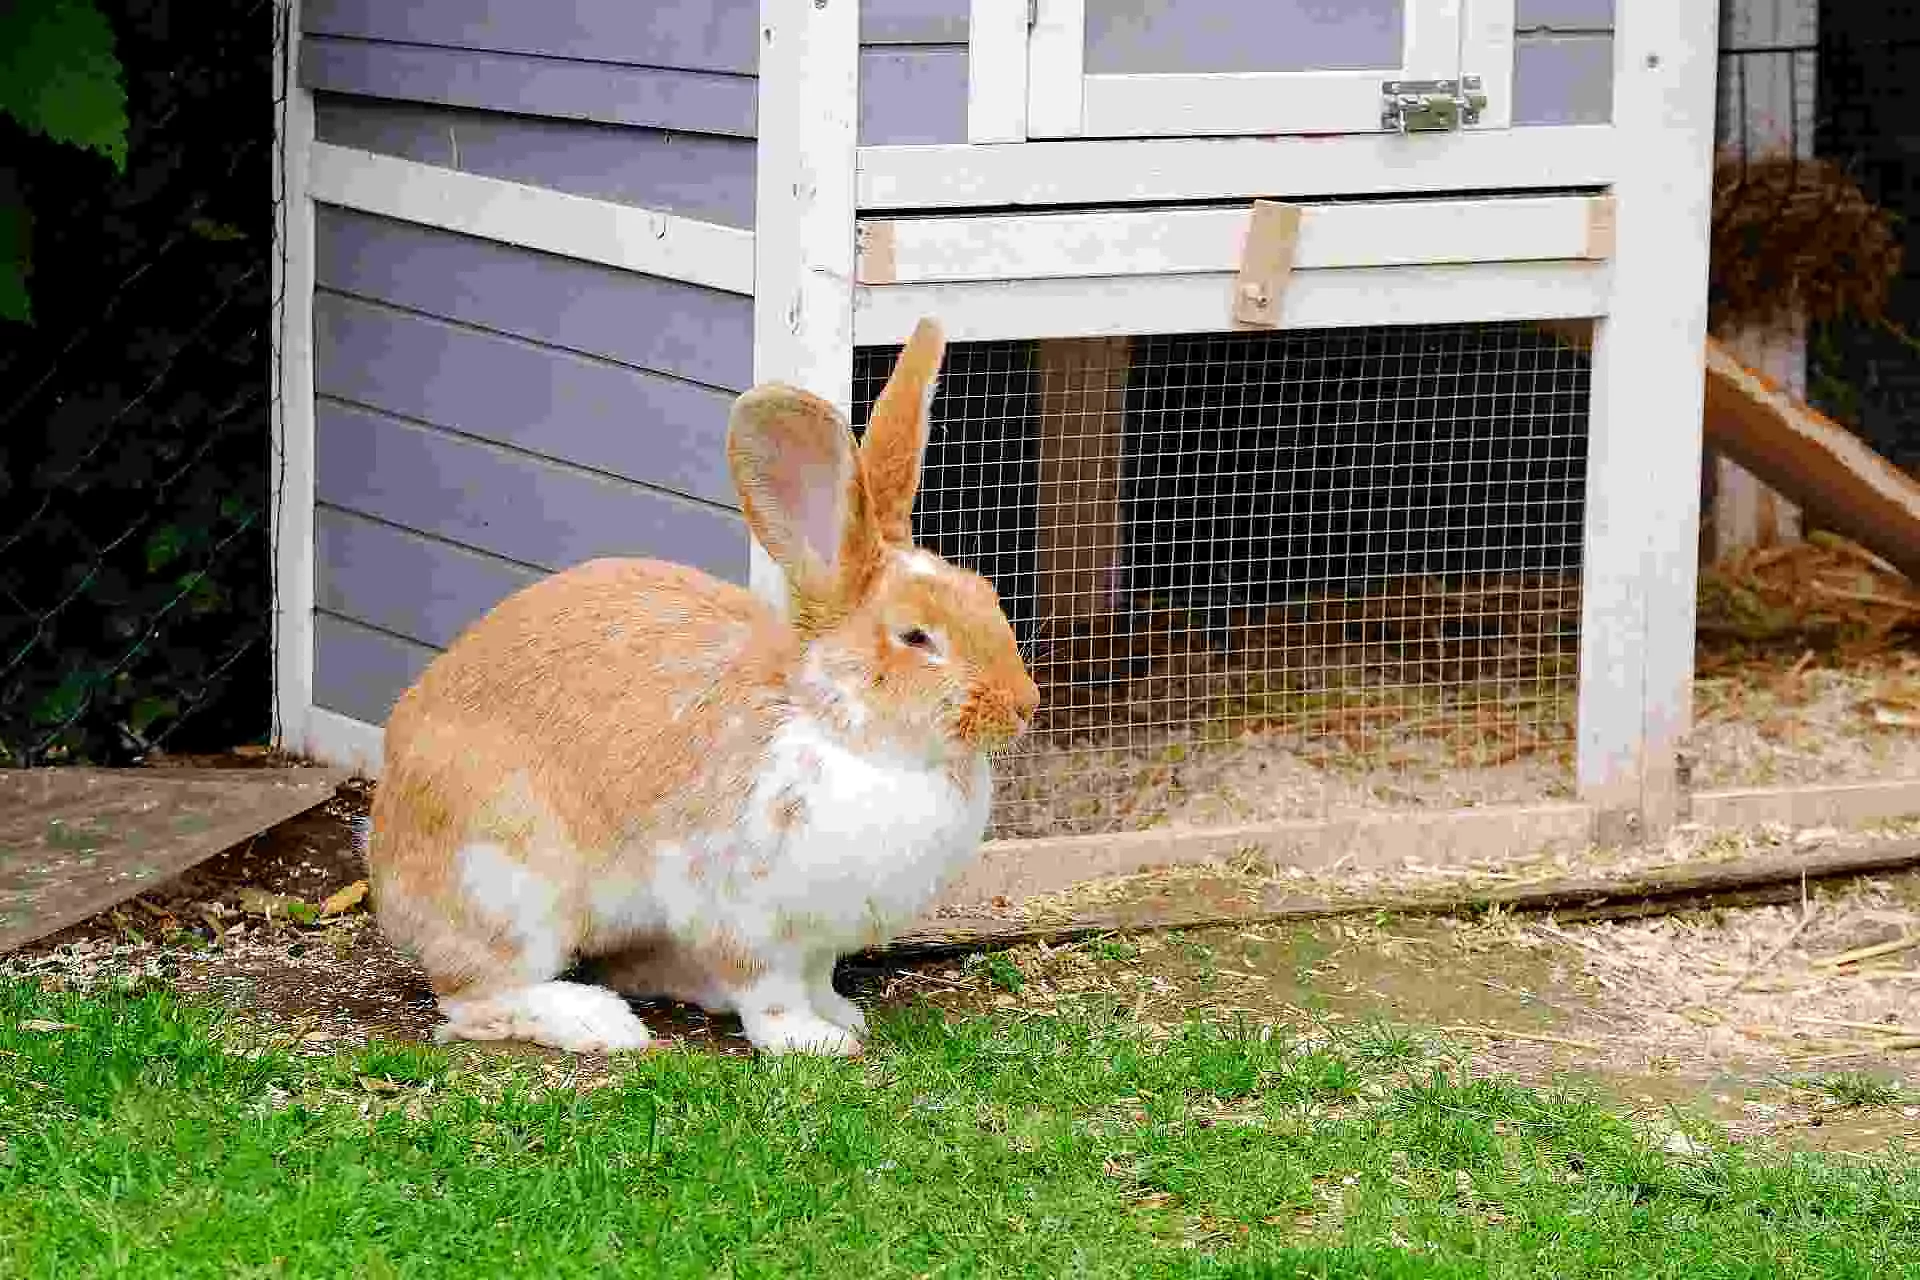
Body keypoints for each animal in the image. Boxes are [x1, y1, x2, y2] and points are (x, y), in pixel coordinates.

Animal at [364, 318, 1041, 1057]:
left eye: (987, 594)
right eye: (916, 638)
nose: (1023, 706)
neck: (843, 730)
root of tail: (385, 862)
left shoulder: (817, 940)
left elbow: (818, 978)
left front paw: (841, 1017)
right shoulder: (744, 915)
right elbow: (770, 991)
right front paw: (812, 1042)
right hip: (507, 884)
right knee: (472, 997)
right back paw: (597, 1023)